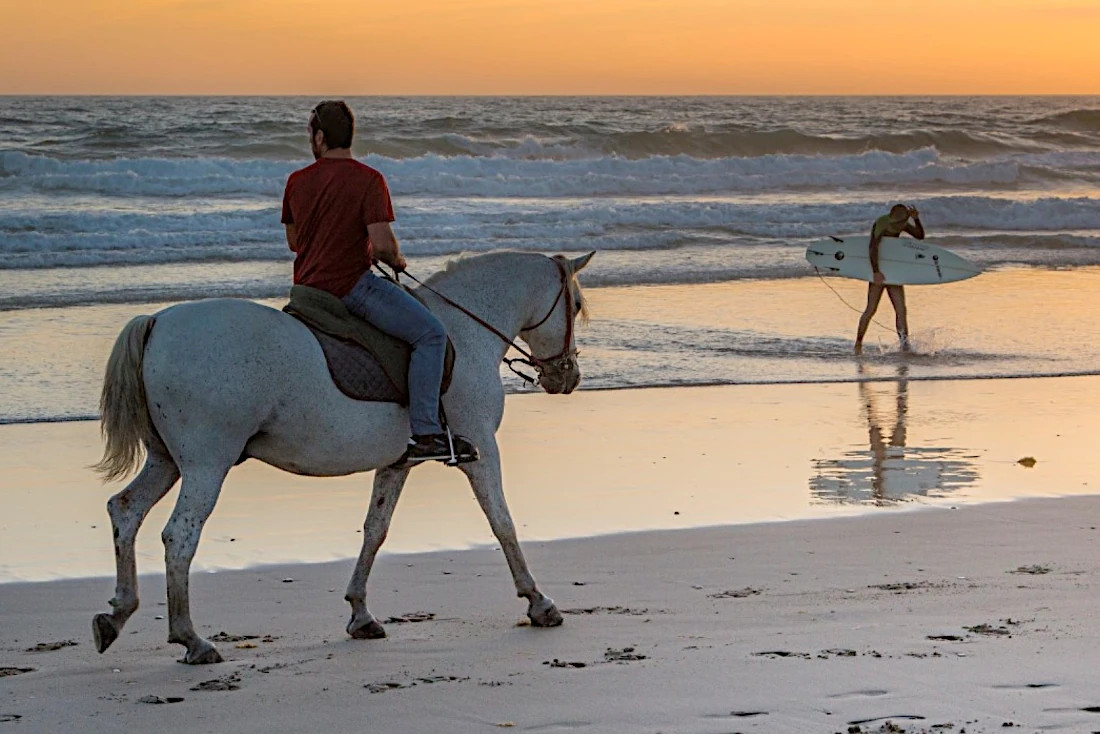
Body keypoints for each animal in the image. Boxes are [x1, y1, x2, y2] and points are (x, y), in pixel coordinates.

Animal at [91, 250, 593, 664]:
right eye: (575, 305)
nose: (567, 377)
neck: (464, 332)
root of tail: (158, 322)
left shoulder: (398, 462)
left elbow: (375, 529)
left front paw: (360, 614)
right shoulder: (481, 449)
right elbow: (502, 521)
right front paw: (538, 602)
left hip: (167, 461)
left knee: (126, 511)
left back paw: (116, 615)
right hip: (205, 466)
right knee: (179, 536)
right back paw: (191, 639)